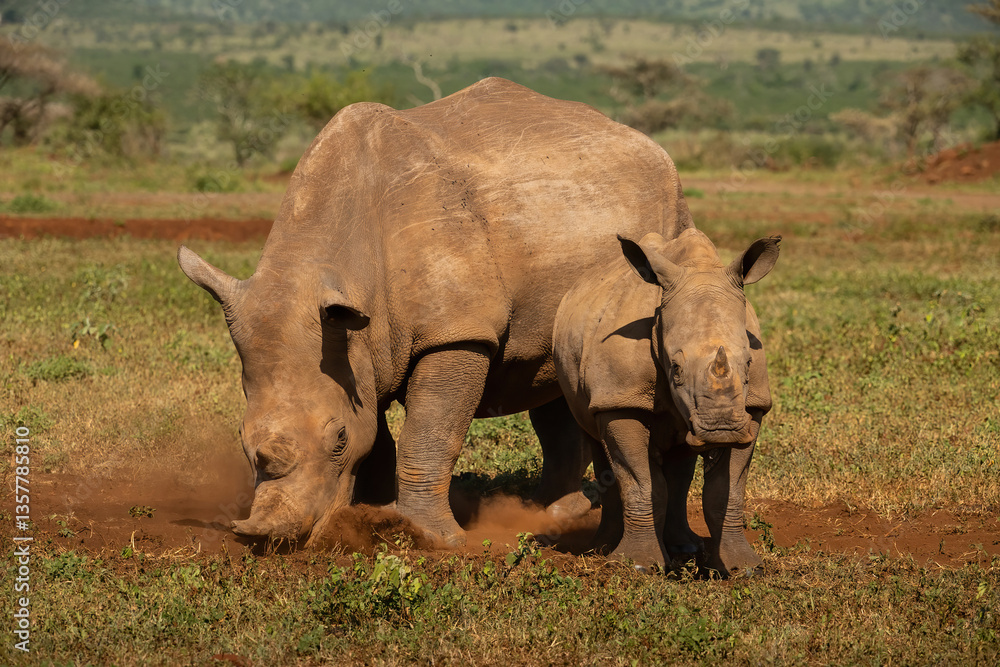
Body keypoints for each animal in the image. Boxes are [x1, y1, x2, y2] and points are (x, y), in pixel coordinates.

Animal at [177, 78, 697, 547]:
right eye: (241, 438)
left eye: (338, 438)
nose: (270, 536)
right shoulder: (360, 345)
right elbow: (378, 438)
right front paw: (369, 516)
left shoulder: (455, 333)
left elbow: (429, 435)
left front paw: (427, 537)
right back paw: (543, 514)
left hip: (672, 213)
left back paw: (546, 519)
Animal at [553, 228, 779, 575]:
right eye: (675, 367)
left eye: (748, 364)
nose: (721, 429)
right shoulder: (621, 399)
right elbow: (641, 483)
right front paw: (638, 565)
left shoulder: (751, 407)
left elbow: (727, 491)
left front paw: (742, 567)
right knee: (598, 442)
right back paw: (602, 549)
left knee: (680, 460)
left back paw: (683, 547)